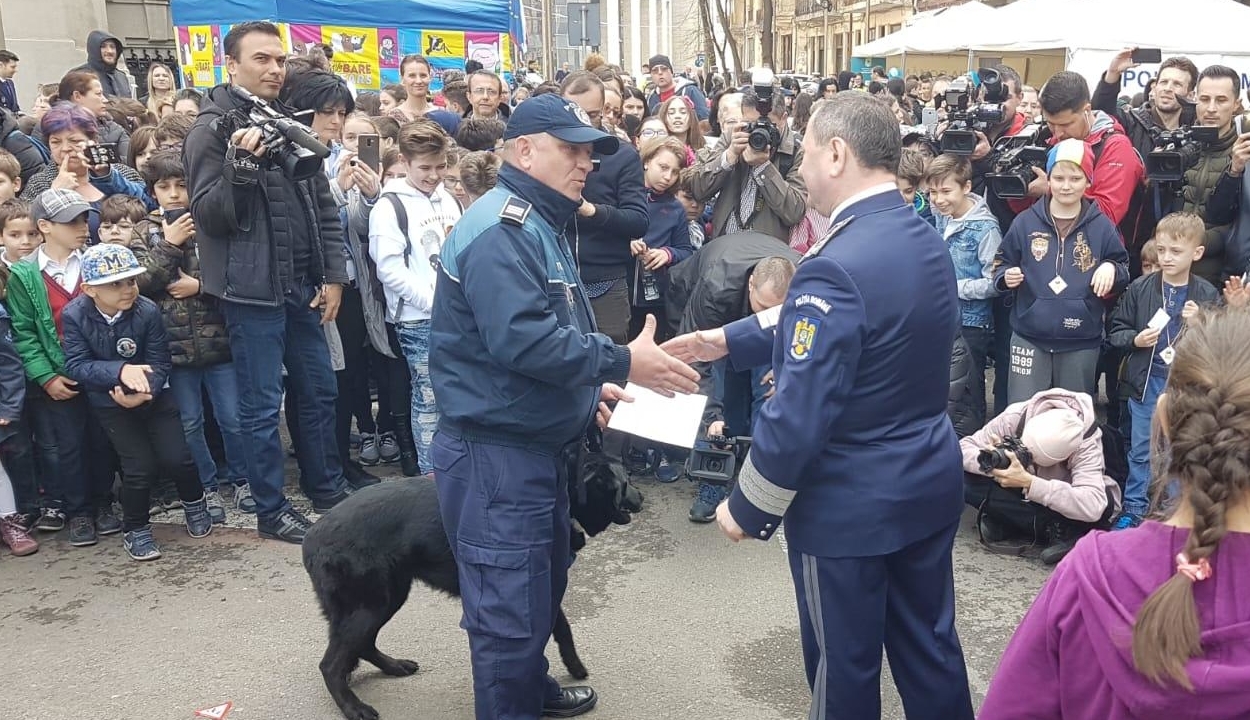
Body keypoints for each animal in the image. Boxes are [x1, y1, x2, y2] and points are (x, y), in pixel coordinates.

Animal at [298, 447, 640, 720]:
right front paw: (574, 668)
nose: (642, 496)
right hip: (372, 603)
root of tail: (311, 536)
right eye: (627, 481)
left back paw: (394, 666)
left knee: (363, 645)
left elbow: (560, 628)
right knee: (331, 665)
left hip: (388, 597)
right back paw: (354, 707)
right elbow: (560, 631)